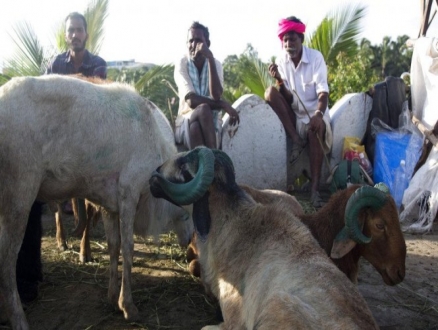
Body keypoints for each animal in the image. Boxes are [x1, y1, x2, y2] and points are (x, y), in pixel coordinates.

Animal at [0, 75, 192, 330]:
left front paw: (112, 298)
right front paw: (128, 306)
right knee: (6, 261)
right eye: (190, 212)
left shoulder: (110, 205)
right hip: (19, 194)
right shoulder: (129, 193)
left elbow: (113, 246)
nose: (189, 241)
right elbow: (128, 248)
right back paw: (19, 319)